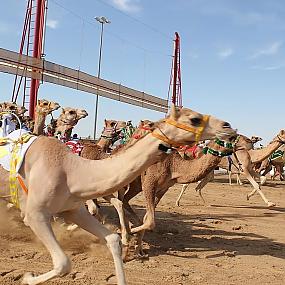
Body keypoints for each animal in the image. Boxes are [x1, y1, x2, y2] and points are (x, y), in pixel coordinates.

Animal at [0, 105, 235, 284]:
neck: (74, 170)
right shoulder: (35, 213)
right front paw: (27, 277)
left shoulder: (72, 208)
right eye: (195, 119)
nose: (228, 126)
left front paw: (126, 241)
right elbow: (63, 263)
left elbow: (112, 238)